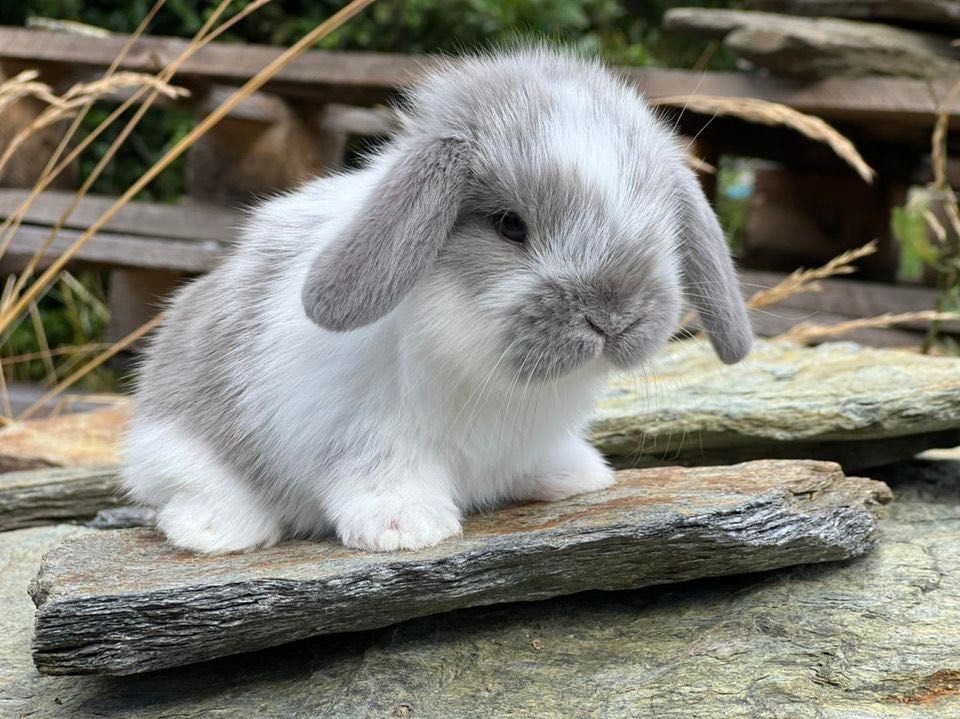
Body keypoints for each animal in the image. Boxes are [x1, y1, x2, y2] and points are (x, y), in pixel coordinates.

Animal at [122, 46, 752, 556]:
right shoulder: (365, 431)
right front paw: (405, 530)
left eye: (662, 224)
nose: (612, 318)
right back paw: (216, 532)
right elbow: (381, 474)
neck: (480, 359)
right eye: (509, 225)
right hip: (172, 443)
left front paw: (584, 477)